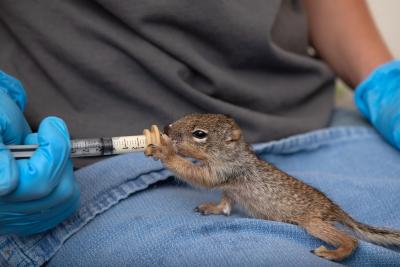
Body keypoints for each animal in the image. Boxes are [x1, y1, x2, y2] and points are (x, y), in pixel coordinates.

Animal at [145, 113, 400, 262]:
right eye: (188, 115)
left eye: (199, 134)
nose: (166, 128)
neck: (233, 152)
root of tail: (333, 208)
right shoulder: (230, 188)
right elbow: (226, 203)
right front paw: (213, 208)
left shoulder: (225, 171)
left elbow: (197, 175)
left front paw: (164, 151)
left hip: (314, 223)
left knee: (351, 241)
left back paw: (332, 253)